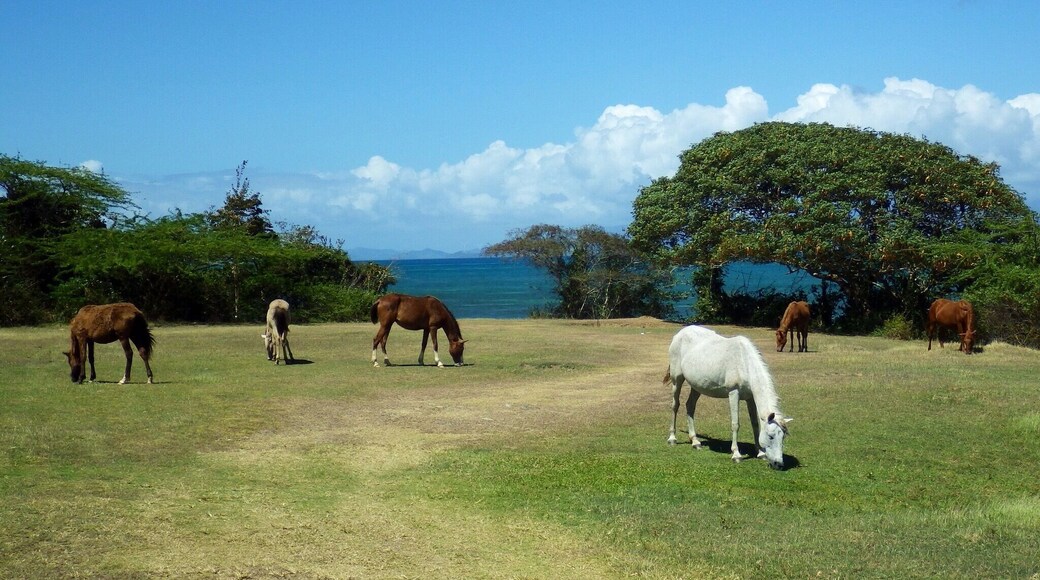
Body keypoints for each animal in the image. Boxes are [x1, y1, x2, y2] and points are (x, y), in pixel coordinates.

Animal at [665, 325, 791, 469]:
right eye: (770, 436)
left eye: (783, 437)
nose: (778, 464)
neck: (744, 362)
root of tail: (680, 333)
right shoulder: (733, 393)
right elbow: (735, 424)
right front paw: (736, 454)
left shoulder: (750, 398)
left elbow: (755, 424)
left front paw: (760, 453)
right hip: (677, 380)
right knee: (675, 406)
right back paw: (672, 438)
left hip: (697, 386)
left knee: (690, 406)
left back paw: (695, 442)